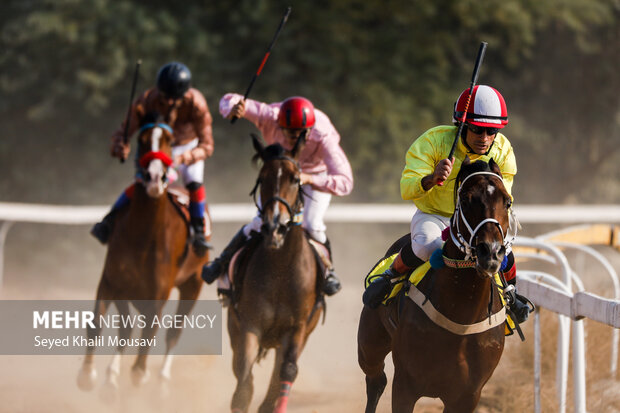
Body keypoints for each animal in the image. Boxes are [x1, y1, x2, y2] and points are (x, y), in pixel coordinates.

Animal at [77, 111, 208, 398]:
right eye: (142, 139)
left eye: (170, 139)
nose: (154, 177)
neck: (143, 237)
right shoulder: (113, 282)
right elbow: (101, 324)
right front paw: (89, 376)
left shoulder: (158, 296)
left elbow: (147, 339)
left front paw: (138, 376)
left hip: (193, 284)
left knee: (174, 332)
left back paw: (162, 381)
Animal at [228, 134, 324, 412]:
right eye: (263, 178)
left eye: (295, 179)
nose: (275, 227)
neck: (281, 271)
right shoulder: (249, 324)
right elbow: (243, 383)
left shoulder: (297, 329)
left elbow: (287, 371)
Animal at [358, 156, 512, 410]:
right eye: (466, 199)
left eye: (507, 201)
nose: (490, 252)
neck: (461, 317)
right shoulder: (405, 385)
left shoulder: (467, 395)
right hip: (370, 342)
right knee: (375, 379)